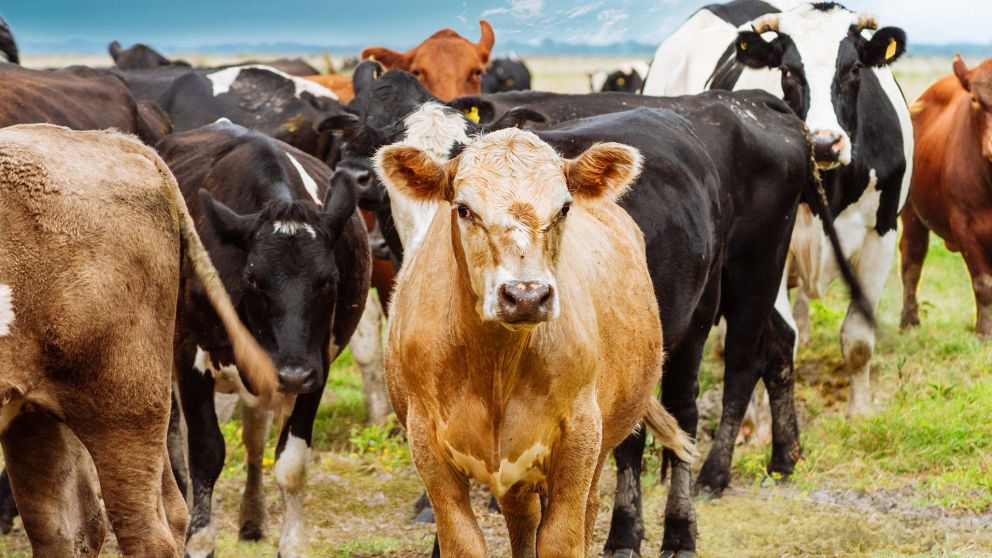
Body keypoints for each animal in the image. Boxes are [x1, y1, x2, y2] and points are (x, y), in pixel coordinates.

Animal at [159, 121, 370, 558]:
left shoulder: (316, 366)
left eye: (330, 279)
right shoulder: (189, 356)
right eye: (253, 279)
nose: (290, 373)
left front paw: (290, 544)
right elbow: (205, 451)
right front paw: (198, 540)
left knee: (254, 436)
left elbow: (291, 463)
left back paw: (252, 517)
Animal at [376, 126, 697, 557]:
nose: (526, 294)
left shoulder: (579, 438)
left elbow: (562, 538)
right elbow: (463, 540)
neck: (495, 366)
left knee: (586, 508)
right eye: (464, 209)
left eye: (563, 208)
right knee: (522, 516)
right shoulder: (427, 445)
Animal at [644, 0, 913, 420]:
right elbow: (772, 342)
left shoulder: (881, 235)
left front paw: (859, 411)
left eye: (855, 68)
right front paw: (760, 423)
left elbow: (858, 337)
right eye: (788, 71)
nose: (824, 142)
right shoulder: (771, 248)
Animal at [901, 55, 992, 338]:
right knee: (912, 261)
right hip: (911, 213)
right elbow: (984, 283)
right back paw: (909, 320)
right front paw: (985, 332)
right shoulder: (964, 226)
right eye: (974, 98)